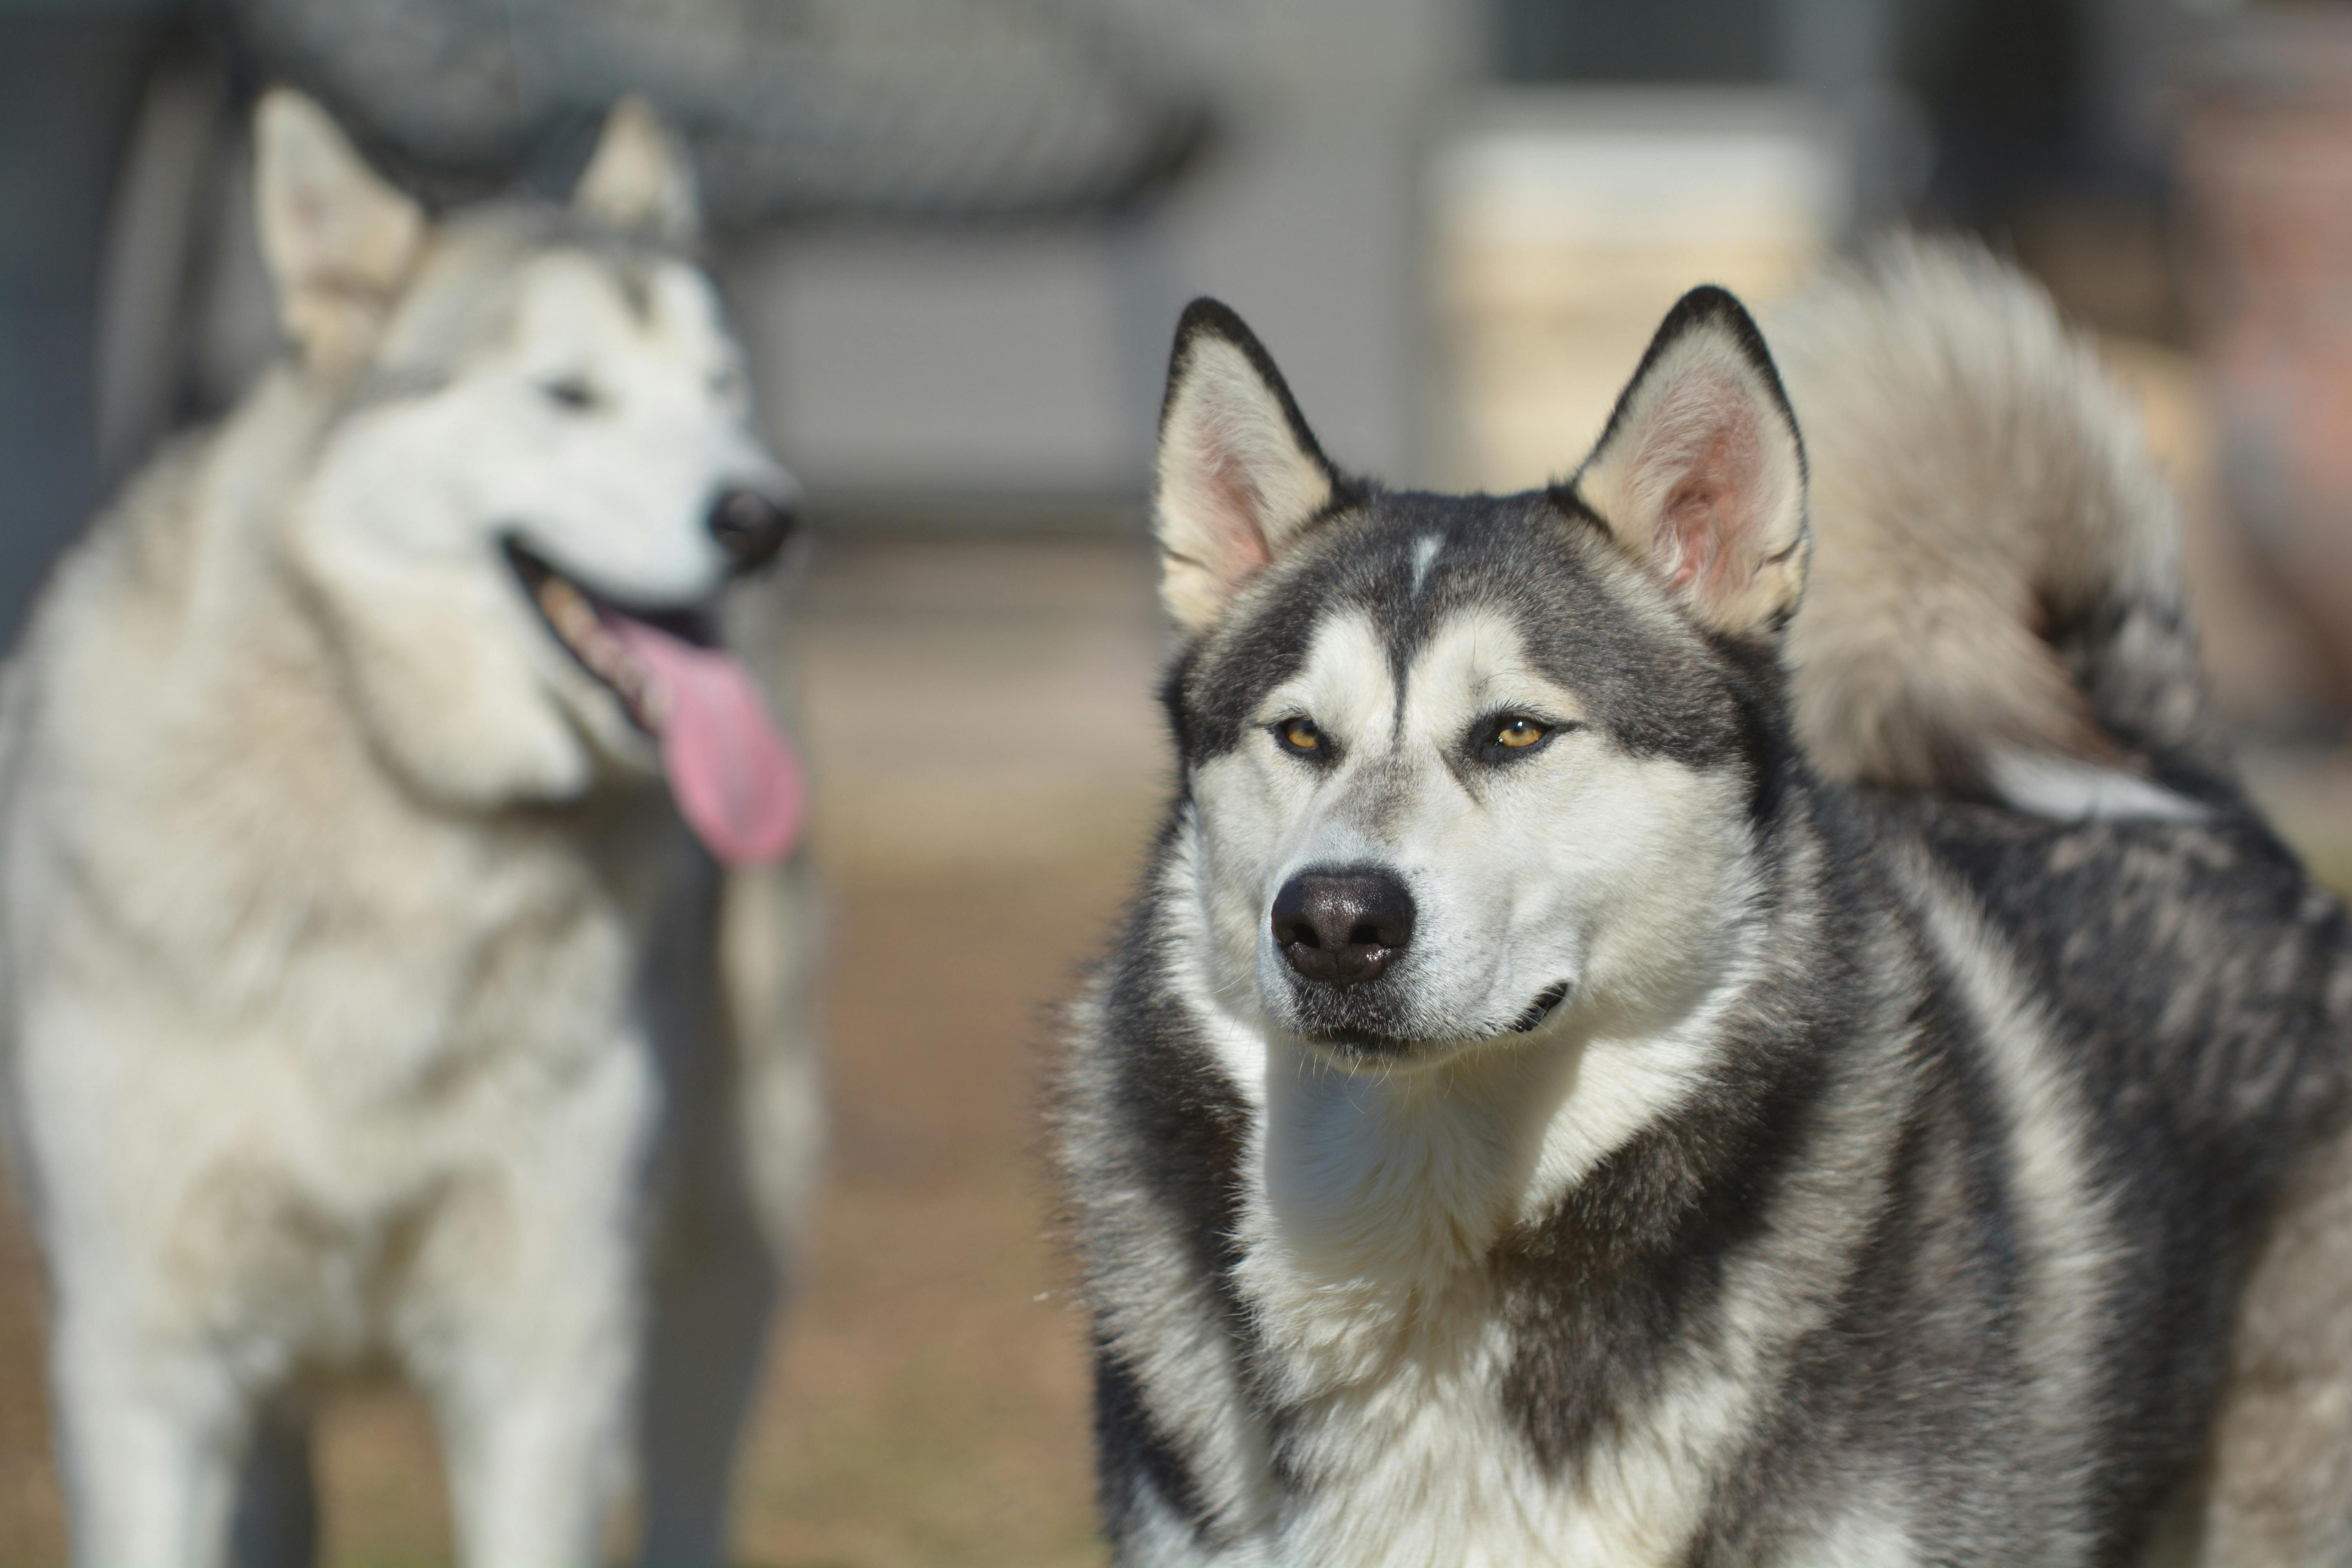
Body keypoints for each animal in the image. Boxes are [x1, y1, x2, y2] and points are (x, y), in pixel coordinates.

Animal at [0, 92, 818, 1568]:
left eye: (722, 391)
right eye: (568, 394)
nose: (763, 516)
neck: (403, 805)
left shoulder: (544, 1353)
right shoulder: (147, 1366)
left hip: (734, 1227)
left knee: (691, 1473)